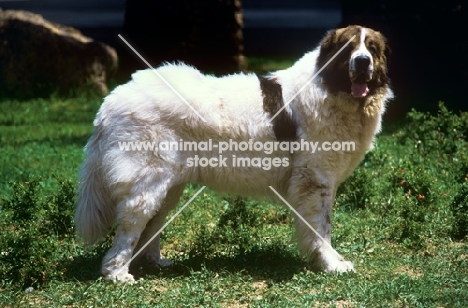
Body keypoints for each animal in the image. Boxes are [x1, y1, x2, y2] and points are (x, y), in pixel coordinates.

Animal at [75, 25, 394, 282]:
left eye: (372, 49)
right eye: (348, 48)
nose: (362, 62)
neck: (330, 87)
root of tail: (111, 101)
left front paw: (331, 261)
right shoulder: (315, 180)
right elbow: (321, 228)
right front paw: (330, 264)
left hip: (168, 186)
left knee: (153, 222)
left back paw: (155, 263)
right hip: (147, 182)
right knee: (131, 224)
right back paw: (117, 274)